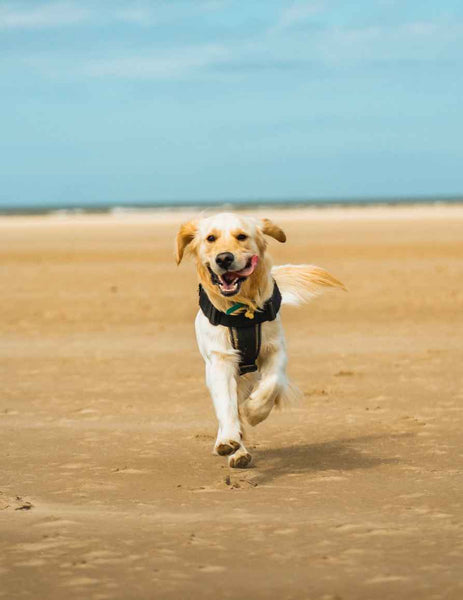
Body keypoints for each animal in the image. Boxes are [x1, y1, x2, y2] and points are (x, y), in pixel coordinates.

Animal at [177, 212, 344, 468]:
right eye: (211, 238)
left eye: (241, 236)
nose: (224, 258)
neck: (242, 310)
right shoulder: (221, 360)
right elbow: (226, 405)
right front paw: (228, 439)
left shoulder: (275, 349)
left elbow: (272, 384)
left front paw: (254, 411)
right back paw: (236, 450)